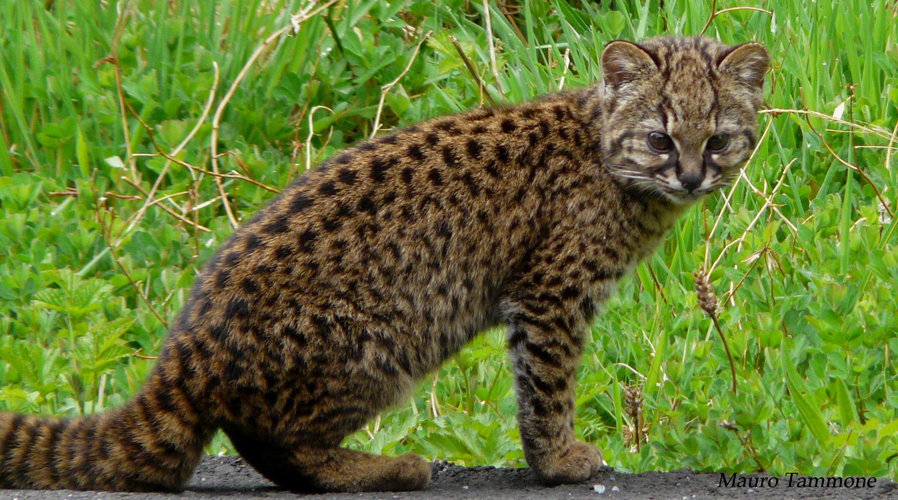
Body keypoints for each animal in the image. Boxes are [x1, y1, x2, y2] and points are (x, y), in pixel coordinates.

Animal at [0, 35, 768, 492]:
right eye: (661, 139)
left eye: (719, 139)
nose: (693, 177)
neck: (607, 157)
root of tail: (185, 352)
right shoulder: (551, 296)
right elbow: (547, 388)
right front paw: (558, 461)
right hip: (386, 336)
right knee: (283, 444)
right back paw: (386, 466)